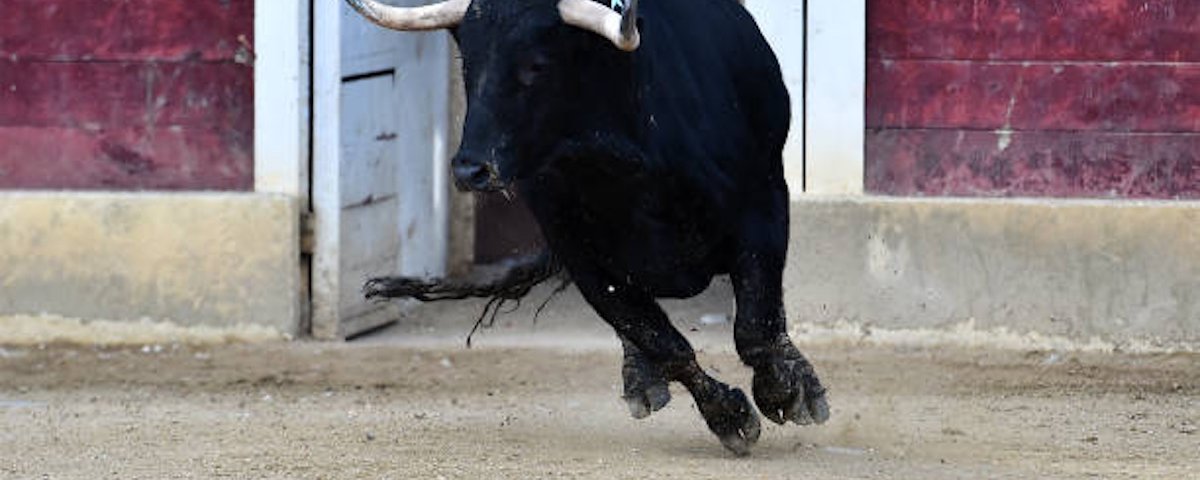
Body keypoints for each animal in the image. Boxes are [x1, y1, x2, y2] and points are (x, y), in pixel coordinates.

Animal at [350, 0, 830, 456]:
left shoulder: (761, 208)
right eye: (467, 61)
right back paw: (641, 379)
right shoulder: (584, 260)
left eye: (537, 65)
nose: (470, 169)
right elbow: (664, 343)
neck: (620, 165)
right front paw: (729, 417)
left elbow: (755, 327)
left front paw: (788, 392)